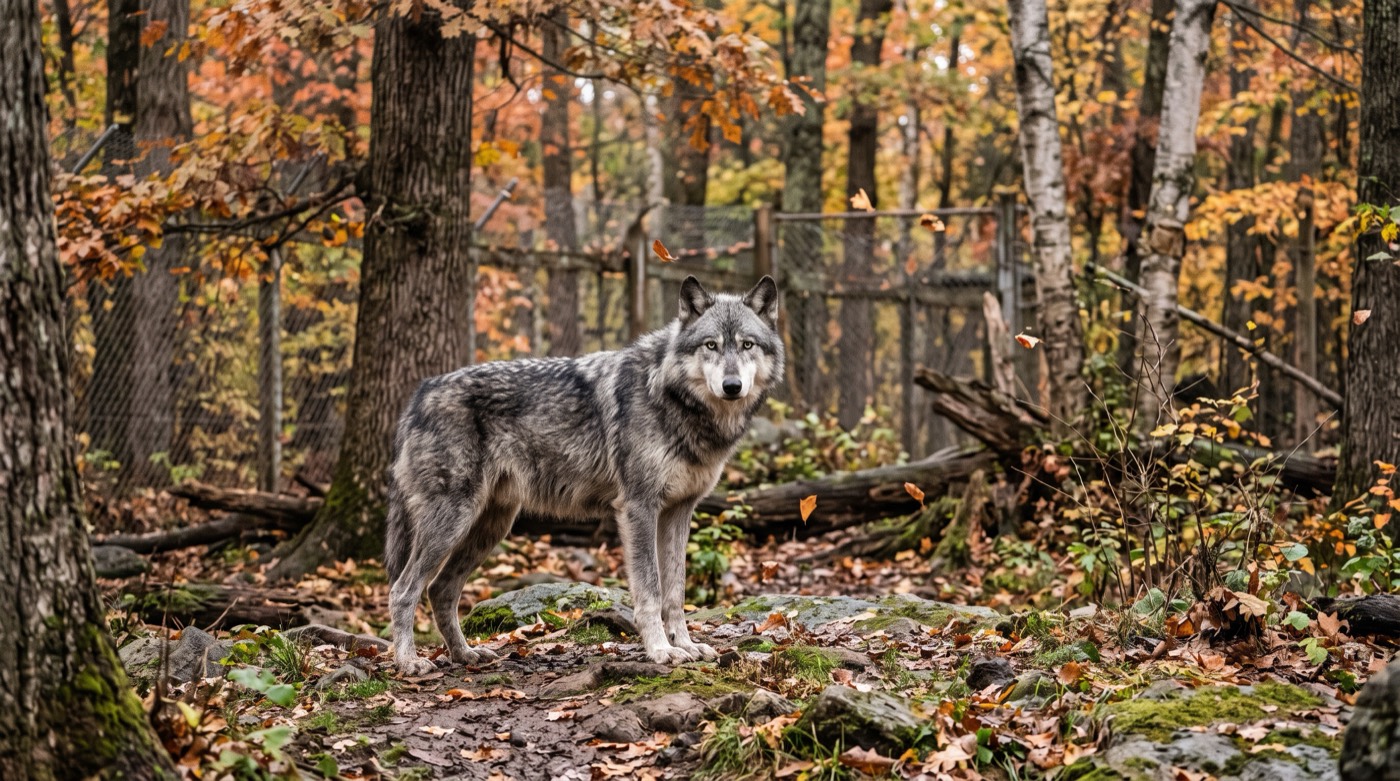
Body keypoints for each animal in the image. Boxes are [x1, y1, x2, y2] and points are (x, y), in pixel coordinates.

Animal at [385, 275, 784, 675]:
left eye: (747, 344)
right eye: (711, 345)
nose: (732, 386)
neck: (673, 397)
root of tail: (419, 395)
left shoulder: (678, 512)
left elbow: (675, 591)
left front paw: (686, 645)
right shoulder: (638, 508)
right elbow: (651, 591)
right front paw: (660, 651)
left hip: (491, 527)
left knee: (440, 590)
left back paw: (466, 654)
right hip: (453, 523)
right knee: (403, 590)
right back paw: (408, 661)